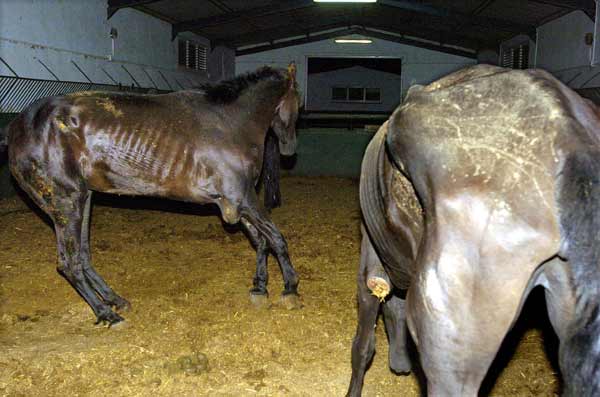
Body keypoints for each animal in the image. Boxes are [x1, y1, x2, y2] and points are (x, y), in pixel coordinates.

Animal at [0, 64, 300, 324]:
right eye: (298, 100)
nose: (289, 148)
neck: (230, 123)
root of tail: (14, 129)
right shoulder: (243, 197)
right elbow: (276, 238)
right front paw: (290, 289)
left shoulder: (237, 203)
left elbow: (261, 241)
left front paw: (260, 288)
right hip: (65, 203)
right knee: (69, 263)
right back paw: (107, 314)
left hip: (83, 200)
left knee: (83, 256)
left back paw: (115, 300)